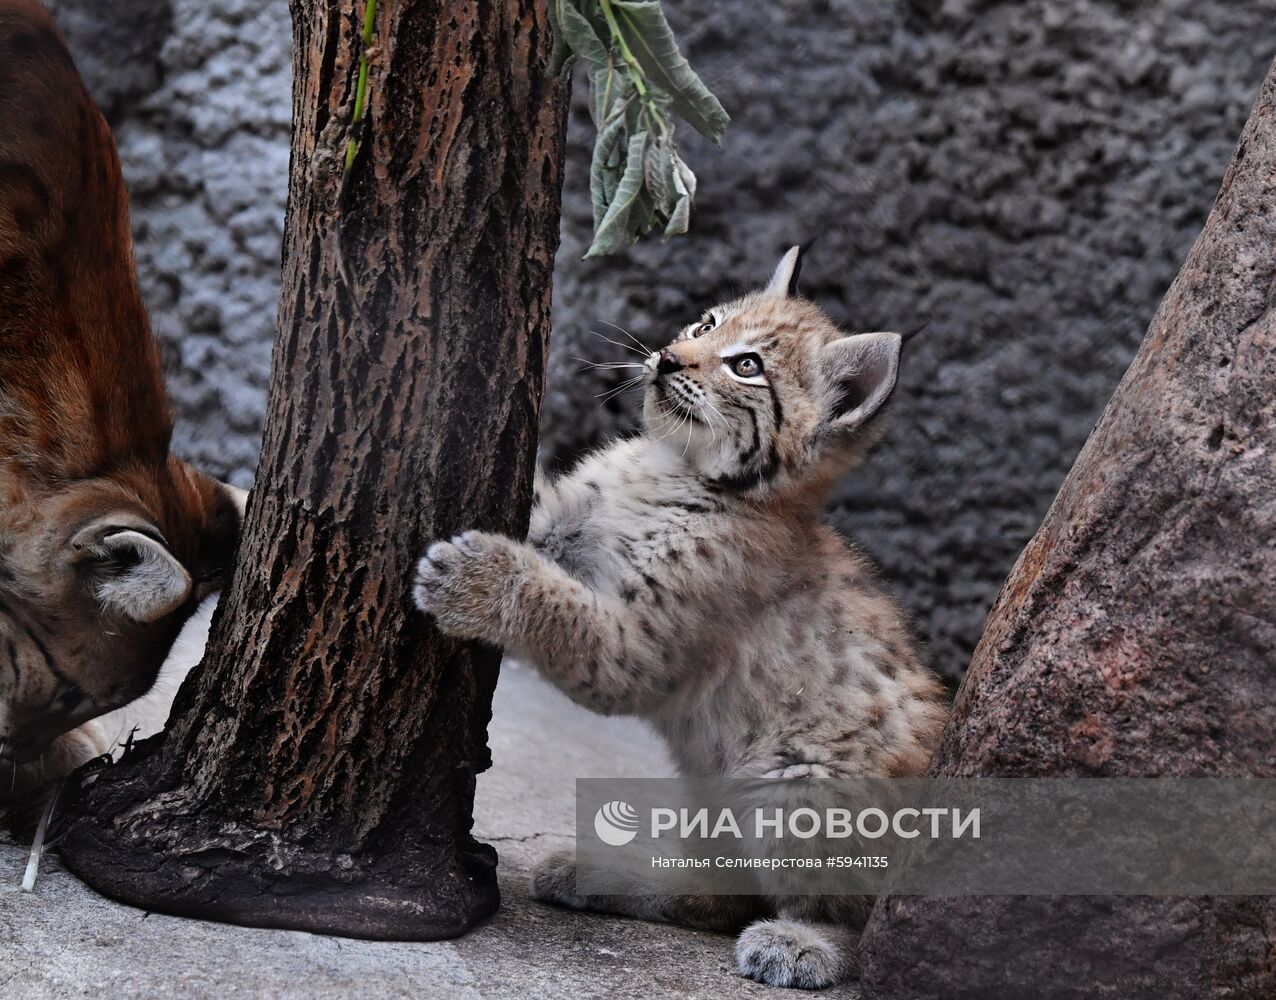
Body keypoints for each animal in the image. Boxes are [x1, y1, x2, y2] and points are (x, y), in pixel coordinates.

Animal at [413, 247, 944, 984]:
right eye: (705, 323)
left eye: (746, 365)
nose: (666, 358)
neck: (674, 466)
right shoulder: (569, 520)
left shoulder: (635, 649)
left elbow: (559, 608)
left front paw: (477, 579)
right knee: (723, 896)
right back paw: (598, 873)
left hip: (796, 783)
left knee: (856, 917)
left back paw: (802, 942)